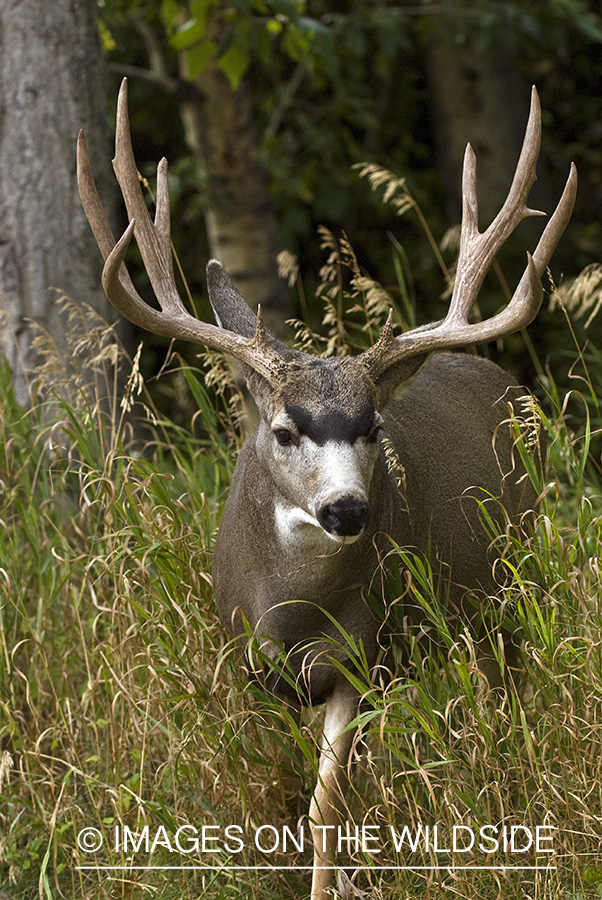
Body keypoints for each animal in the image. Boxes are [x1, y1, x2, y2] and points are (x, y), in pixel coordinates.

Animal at [77, 79, 576, 900]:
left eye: (373, 427)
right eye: (284, 431)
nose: (348, 509)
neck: (291, 610)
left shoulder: (364, 654)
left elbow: (325, 805)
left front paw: (330, 882)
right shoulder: (249, 661)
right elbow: (287, 787)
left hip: (512, 578)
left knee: (503, 685)